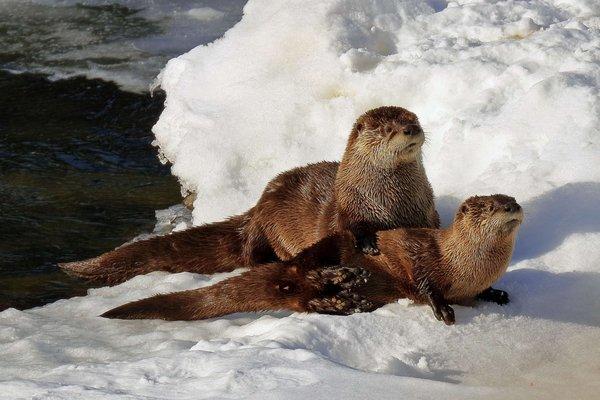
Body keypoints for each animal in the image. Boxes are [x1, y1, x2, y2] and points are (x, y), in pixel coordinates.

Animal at [61, 105, 436, 284]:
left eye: (414, 118)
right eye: (387, 129)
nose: (411, 128)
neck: (390, 202)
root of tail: (255, 207)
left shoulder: (425, 209)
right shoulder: (348, 209)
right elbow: (347, 230)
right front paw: (368, 242)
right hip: (271, 226)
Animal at [101, 195, 524, 324]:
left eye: (511, 199)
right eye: (491, 206)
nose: (514, 206)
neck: (466, 266)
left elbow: (481, 292)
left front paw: (497, 294)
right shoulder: (420, 253)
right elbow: (423, 282)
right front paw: (444, 311)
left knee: (301, 297)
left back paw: (345, 300)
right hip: (328, 244)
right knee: (298, 268)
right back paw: (345, 278)